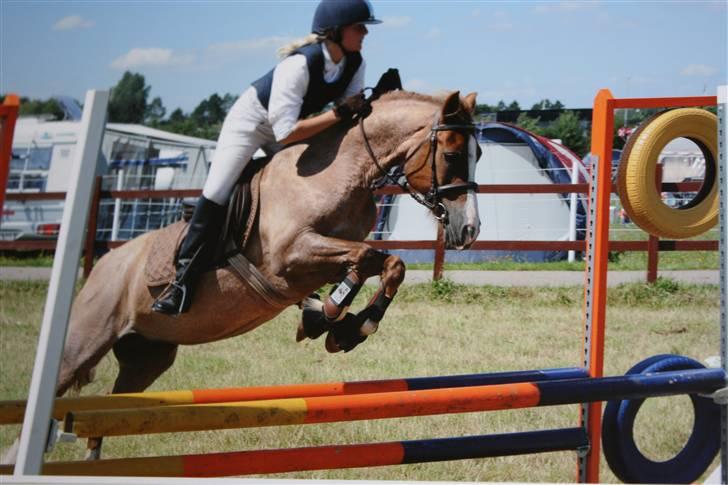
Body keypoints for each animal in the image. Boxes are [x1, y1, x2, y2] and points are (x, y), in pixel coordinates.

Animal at [5, 89, 482, 461]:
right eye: (453, 154)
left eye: (477, 154)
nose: (470, 230)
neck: (342, 171)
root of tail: (103, 267)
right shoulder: (291, 255)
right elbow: (366, 260)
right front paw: (333, 318)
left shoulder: (328, 252)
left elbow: (382, 263)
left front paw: (337, 323)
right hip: (83, 342)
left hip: (147, 357)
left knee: (106, 418)